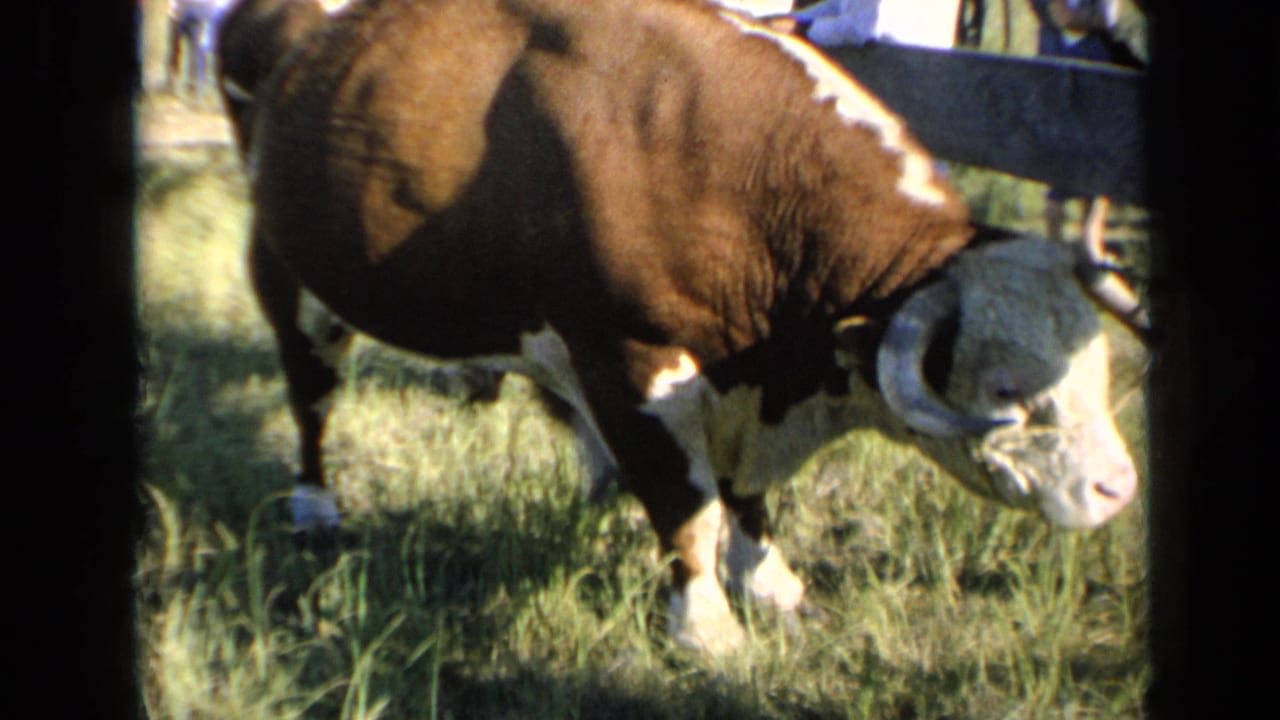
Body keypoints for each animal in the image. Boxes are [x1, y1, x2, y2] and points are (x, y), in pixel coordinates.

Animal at [218, 0, 1145, 655]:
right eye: (1006, 387)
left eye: (1096, 366)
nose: (1119, 489)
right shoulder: (633, 363)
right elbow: (686, 505)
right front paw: (707, 628)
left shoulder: (742, 379)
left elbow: (747, 498)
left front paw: (771, 586)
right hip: (289, 280)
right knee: (310, 398)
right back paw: (315, 507)